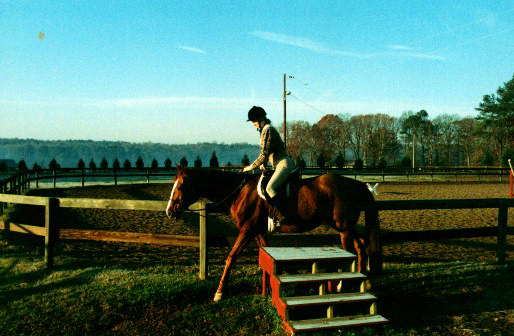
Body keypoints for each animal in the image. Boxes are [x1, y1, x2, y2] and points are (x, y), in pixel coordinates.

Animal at [165, 167, 380, 302]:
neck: (239, 192)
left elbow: (231, 257)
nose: (170, 211)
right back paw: (365, 280)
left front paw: (219, 293)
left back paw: (344, 285)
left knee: (353, 248)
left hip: (343, 227)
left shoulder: (247, 230)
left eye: (181, 186)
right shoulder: (258, 232)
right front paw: (270, 286)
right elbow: (266, 254)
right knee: (361, 244)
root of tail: (358, 185)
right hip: (342, 226)